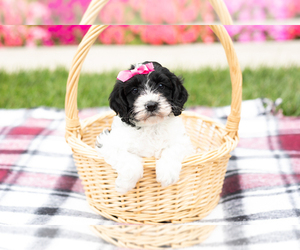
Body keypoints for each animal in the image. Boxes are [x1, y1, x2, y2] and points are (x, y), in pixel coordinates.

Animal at [95, 61, 195, 194]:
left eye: (161, 86)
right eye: (135, 90)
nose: (151, 105)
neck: (151, 126)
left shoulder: (182, 141)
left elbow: (173, 149)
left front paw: (167, 174)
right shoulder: (108, 142)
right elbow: (127, 158)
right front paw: (124, 185)